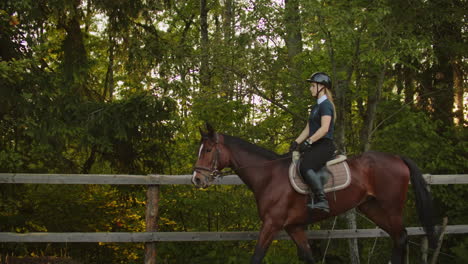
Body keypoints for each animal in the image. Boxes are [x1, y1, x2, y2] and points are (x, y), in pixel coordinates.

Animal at [192, 124, 436, 264]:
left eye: (208, 150)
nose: (197, 179)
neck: (269, 176)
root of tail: (397, 157)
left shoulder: (272, 223)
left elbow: (257, 256)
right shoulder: (294, 227)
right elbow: (308, 257)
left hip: (391, 207)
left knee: (401, 237)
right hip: (372, 207)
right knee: (398, 238)